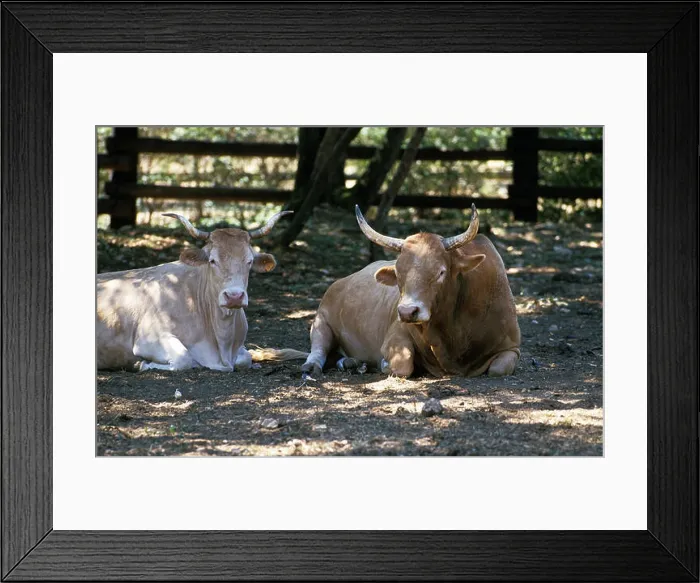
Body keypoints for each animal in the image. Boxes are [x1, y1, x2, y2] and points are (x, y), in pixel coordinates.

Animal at [97, 211, 305, 372]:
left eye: (250, 261)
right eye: (212, 260)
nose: (234, 296)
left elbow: (246, 359)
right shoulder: (148, 338)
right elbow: (184, 359)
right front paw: (142, 365)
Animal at [300, 204, 521, 378]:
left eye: (441, 272)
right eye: (398, 272)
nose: (407, 312)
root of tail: (340, 282)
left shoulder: (512, 348)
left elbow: (498, 369)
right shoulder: (396, 335)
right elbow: (403, 364)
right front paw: (384, 364)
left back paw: (350, 362)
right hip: (321, 321)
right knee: (318, 348)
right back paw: (313, 366)